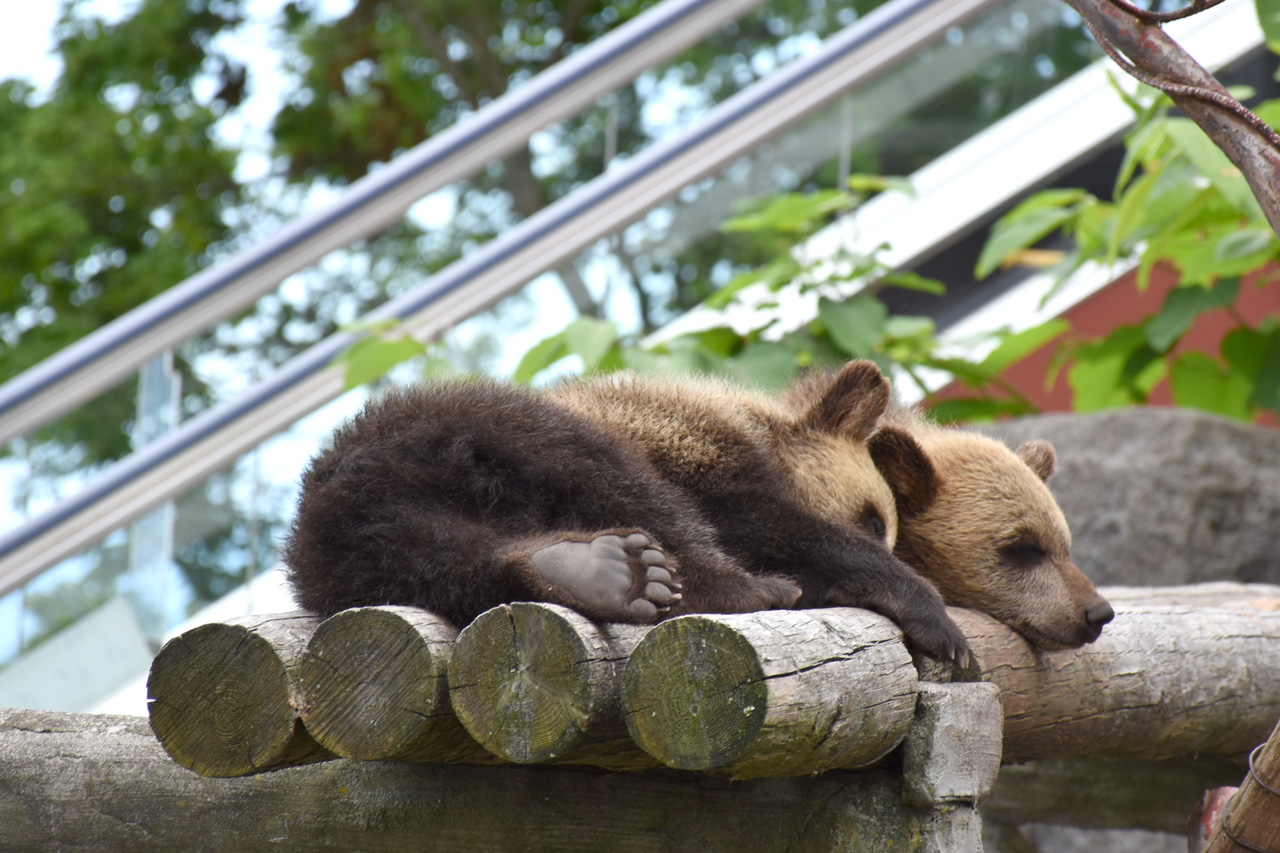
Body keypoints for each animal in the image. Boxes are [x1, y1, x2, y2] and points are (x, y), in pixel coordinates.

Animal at [282, 360, 969, 665]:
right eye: (874, 518)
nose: (882, 536)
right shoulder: (694, 445)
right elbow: (779, 527)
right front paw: (935, 619)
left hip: (370, 552)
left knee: (443, 562)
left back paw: (581, 569)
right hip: (476, 421)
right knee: (608, 478)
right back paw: (720, 584)